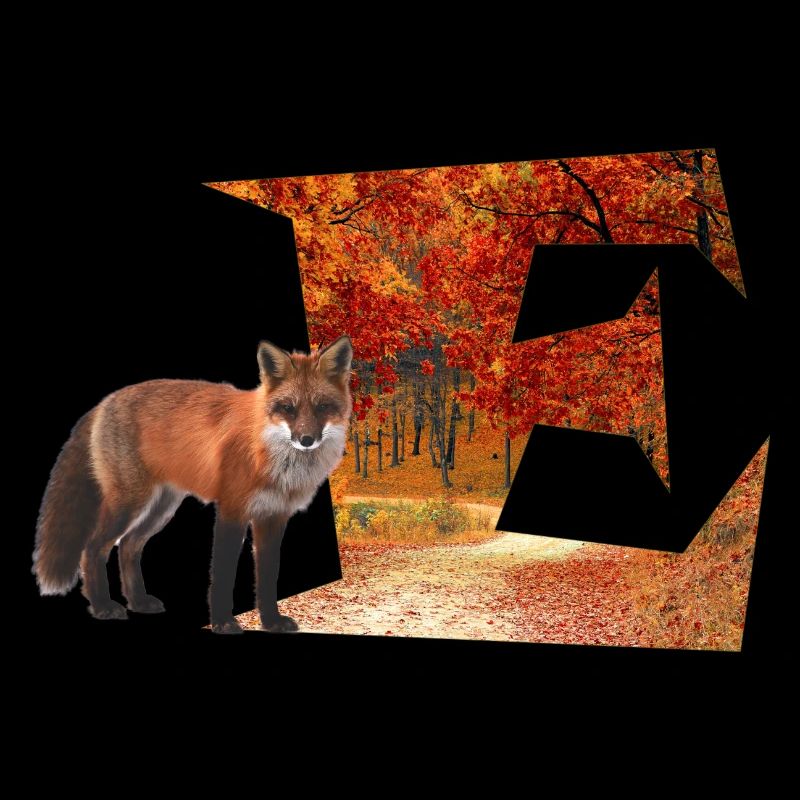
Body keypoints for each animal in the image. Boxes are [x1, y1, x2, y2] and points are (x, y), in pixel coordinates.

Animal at [33, 336, 353, 634]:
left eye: (322, 407)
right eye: (288, 408)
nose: (306, 440)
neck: (269, 454)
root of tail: (104, 402)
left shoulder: (273, 517)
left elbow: (267, 578)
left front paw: (271, 622)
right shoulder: (231, 510)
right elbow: (222, 575)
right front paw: (223, 623)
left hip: (161, 509)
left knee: (128, 546)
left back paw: (138, 602)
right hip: (128, 504)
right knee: (92, 549)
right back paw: (102, 606)